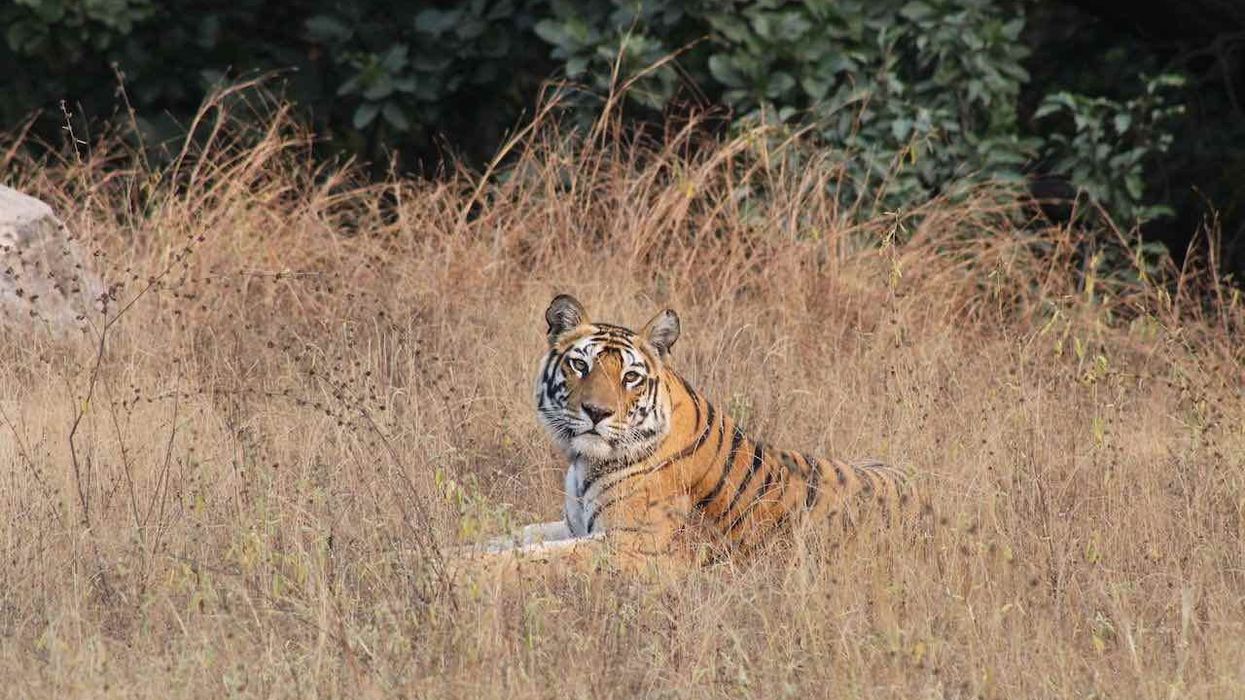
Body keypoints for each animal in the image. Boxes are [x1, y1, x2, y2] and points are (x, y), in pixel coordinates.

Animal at [463, 294, 915, 576]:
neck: (585, 461)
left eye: (630, 377)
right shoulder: (575, 525)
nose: (597, 412)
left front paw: (456, 573)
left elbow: (532, 559)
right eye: (580, 365)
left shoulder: (635, 543)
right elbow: (511, 539)